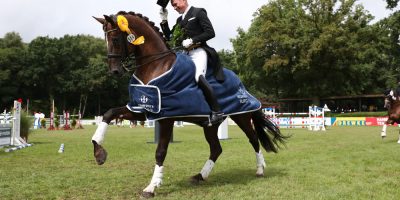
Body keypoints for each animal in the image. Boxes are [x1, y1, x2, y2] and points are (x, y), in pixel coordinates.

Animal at [93, 11, 288, 198]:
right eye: (105, 40)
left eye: (115, 39)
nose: (114, 71)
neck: (156, 65)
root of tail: (240, 83)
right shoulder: (142, 109)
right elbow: (109, 114)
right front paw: (99, 154)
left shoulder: (166, 117)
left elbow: (160, 151)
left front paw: (151, 187)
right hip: (210, 125)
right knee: (216, 148)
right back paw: (200, 176)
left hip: (241, 116)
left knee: (253, 139)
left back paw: (260, 169)